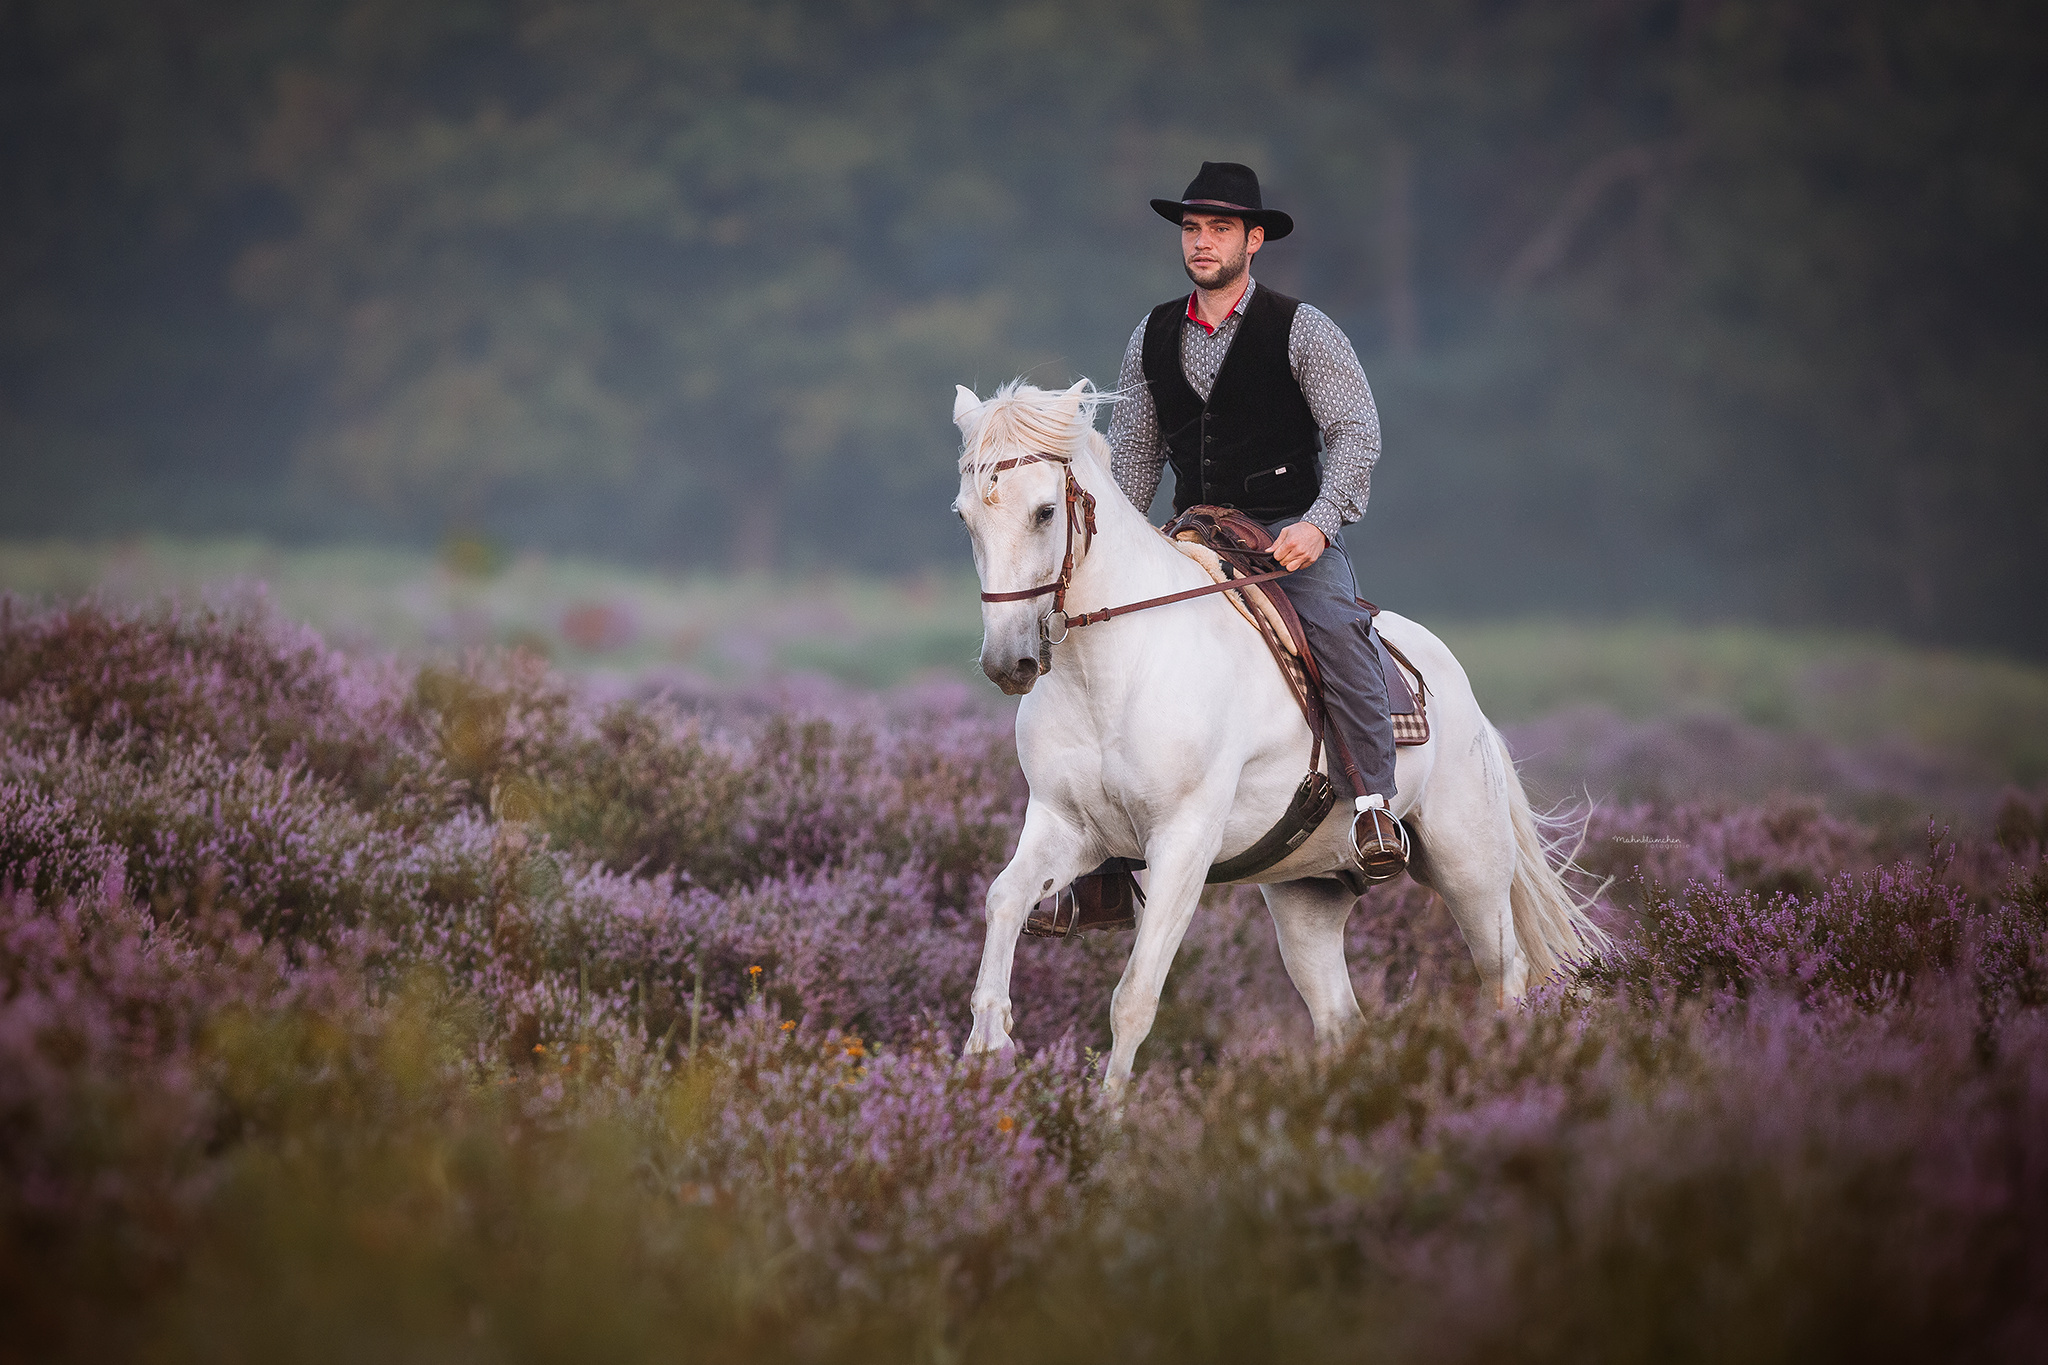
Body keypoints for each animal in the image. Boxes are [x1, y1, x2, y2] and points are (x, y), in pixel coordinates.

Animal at [950, 378, 1605, 1080]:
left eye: (1045, 512)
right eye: (964, 516)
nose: (1008, 662)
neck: (1112, 674)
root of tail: (1467, 699)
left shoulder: (1183, 842)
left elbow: (1135, 999)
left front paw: (1109, 1107)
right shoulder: (1066, 827)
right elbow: (1002, 900)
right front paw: (986, 1052)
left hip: (1470, 868)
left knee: (1504, 977)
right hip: (1306, 899)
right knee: (1341, 1019)